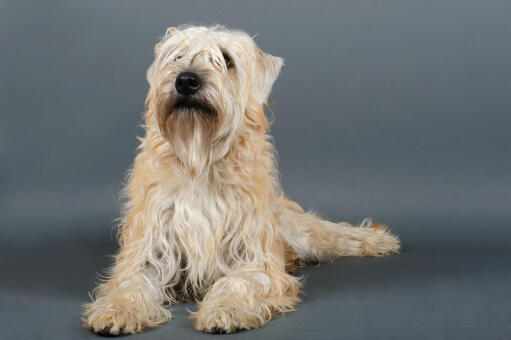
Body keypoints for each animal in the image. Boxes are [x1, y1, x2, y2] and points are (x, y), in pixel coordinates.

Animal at [82, 25, 402, 336]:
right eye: (177, 56)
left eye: (226, 59)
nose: (186, 81)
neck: (200, 162)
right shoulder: (148, 253)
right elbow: (130, 285)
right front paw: (117, 311)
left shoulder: (254, 258)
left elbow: (237, 283)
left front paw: (225, 310)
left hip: (301, 232)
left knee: (334, 233)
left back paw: (377, 239)